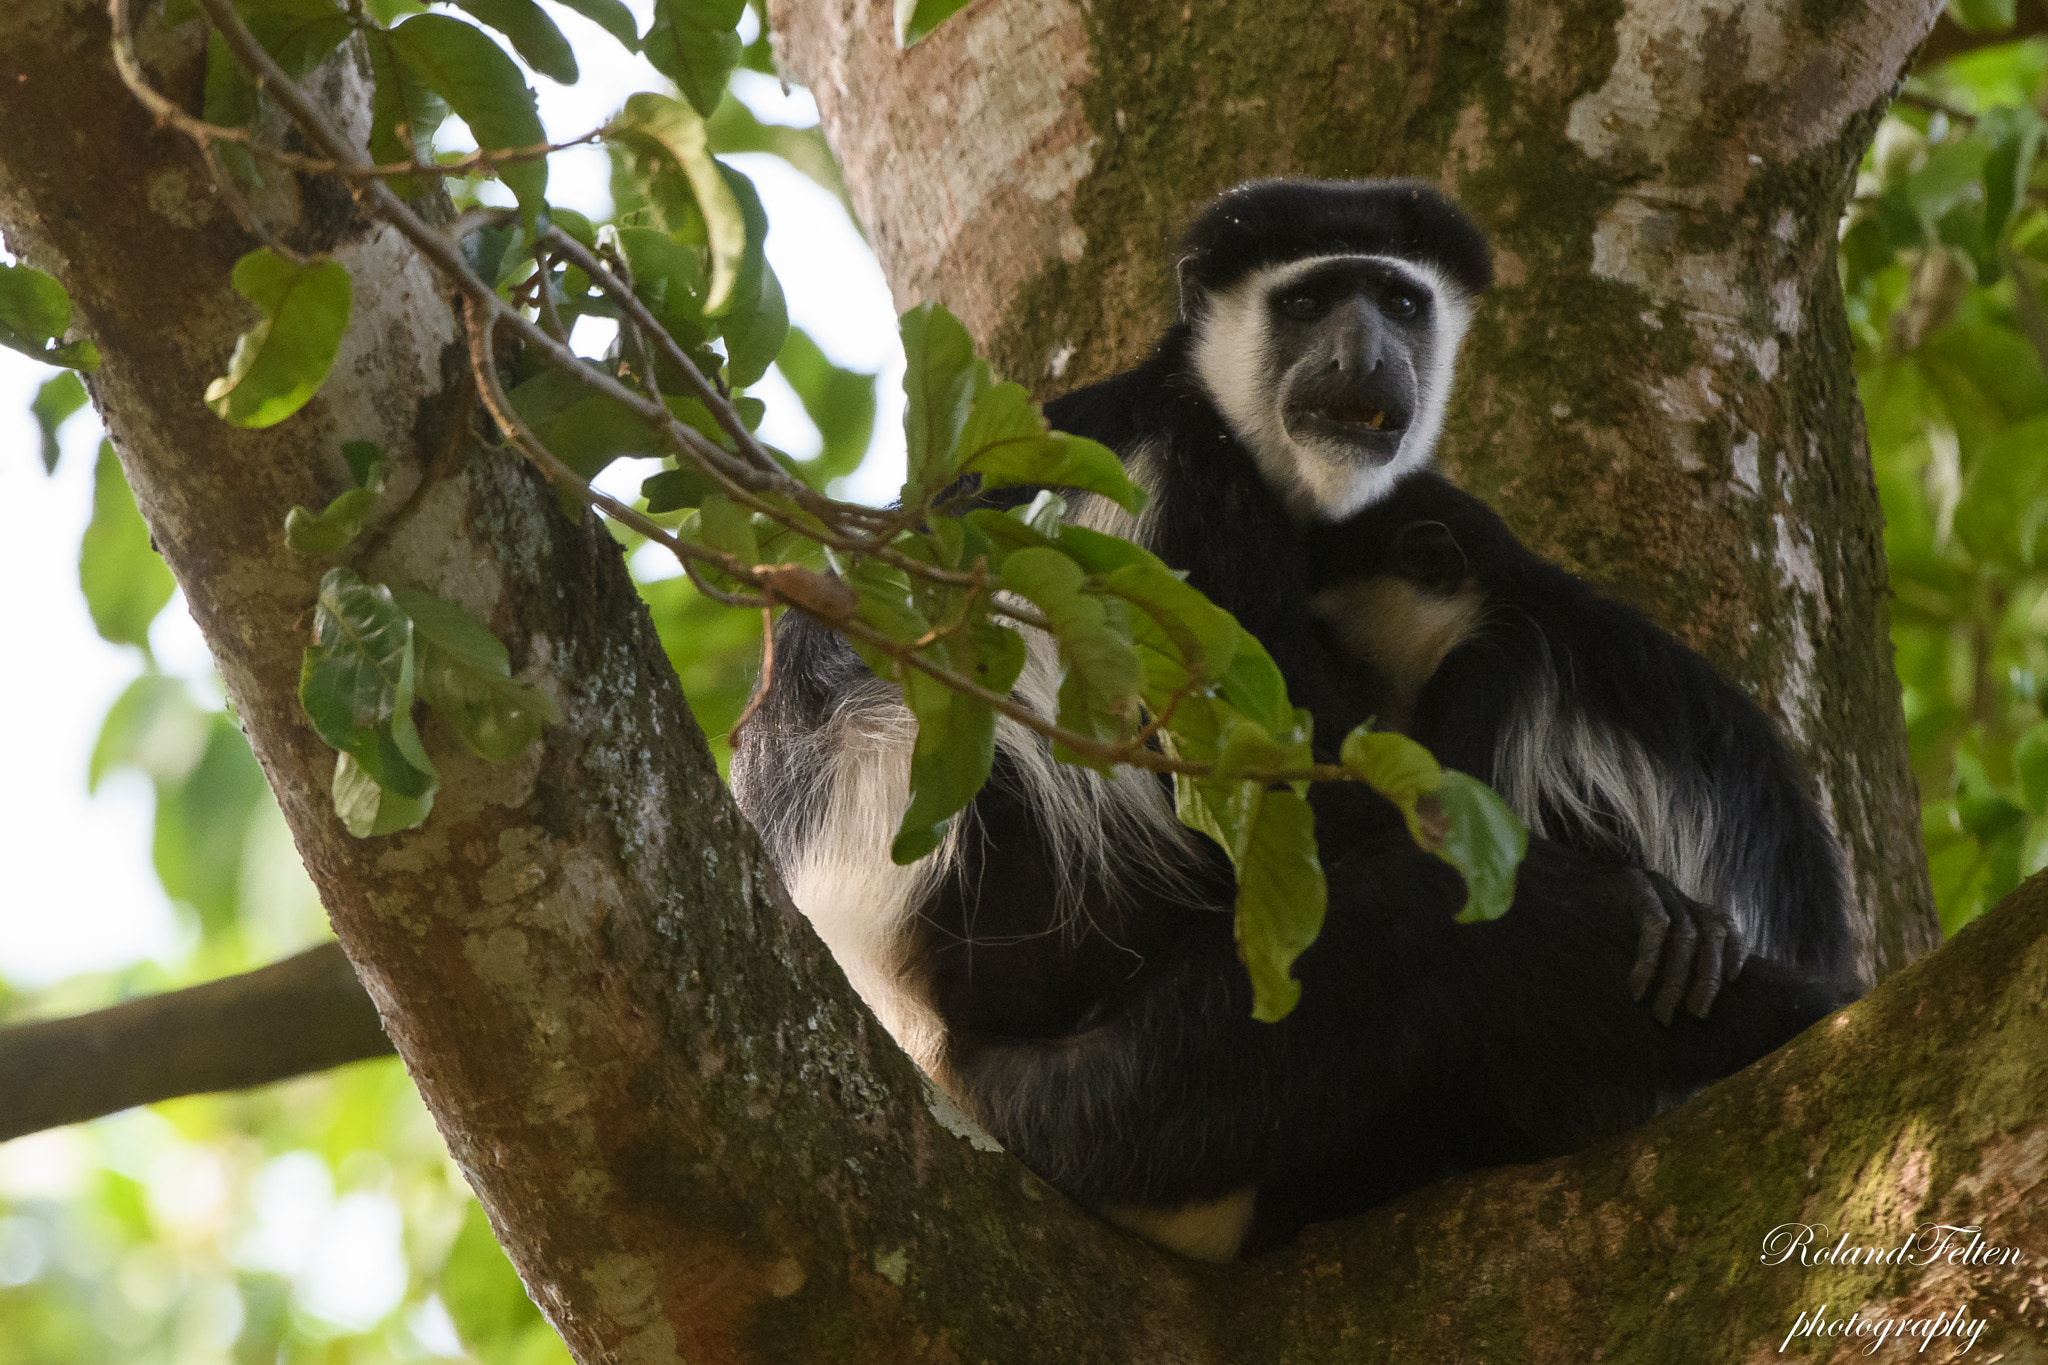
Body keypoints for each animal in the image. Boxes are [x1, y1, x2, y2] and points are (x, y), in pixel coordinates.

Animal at [729, 179, 1851, 1260]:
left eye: (1399, 301)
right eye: (1307, 303)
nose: (1363, 350)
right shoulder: (1191, 497)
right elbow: (1319, 806)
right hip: (1131, 1092)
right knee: (1424, 923)